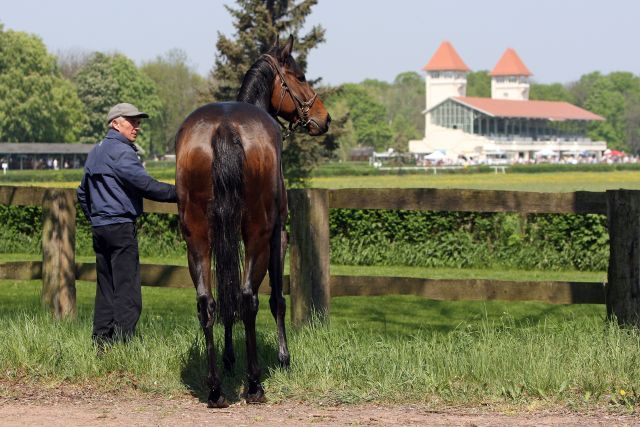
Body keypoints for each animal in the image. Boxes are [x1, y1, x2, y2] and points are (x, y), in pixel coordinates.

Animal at [174, 36, 330, 408]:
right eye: (300, 76)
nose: (324, 117)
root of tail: (225, 127)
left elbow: (225, 296)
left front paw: (230, 358)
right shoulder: (276, 236)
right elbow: (276, 299)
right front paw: (284, 358)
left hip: (197, 237)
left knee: (208, 303)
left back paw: (216, 388)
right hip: (258, 233)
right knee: (248, 299)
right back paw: (255, 383)